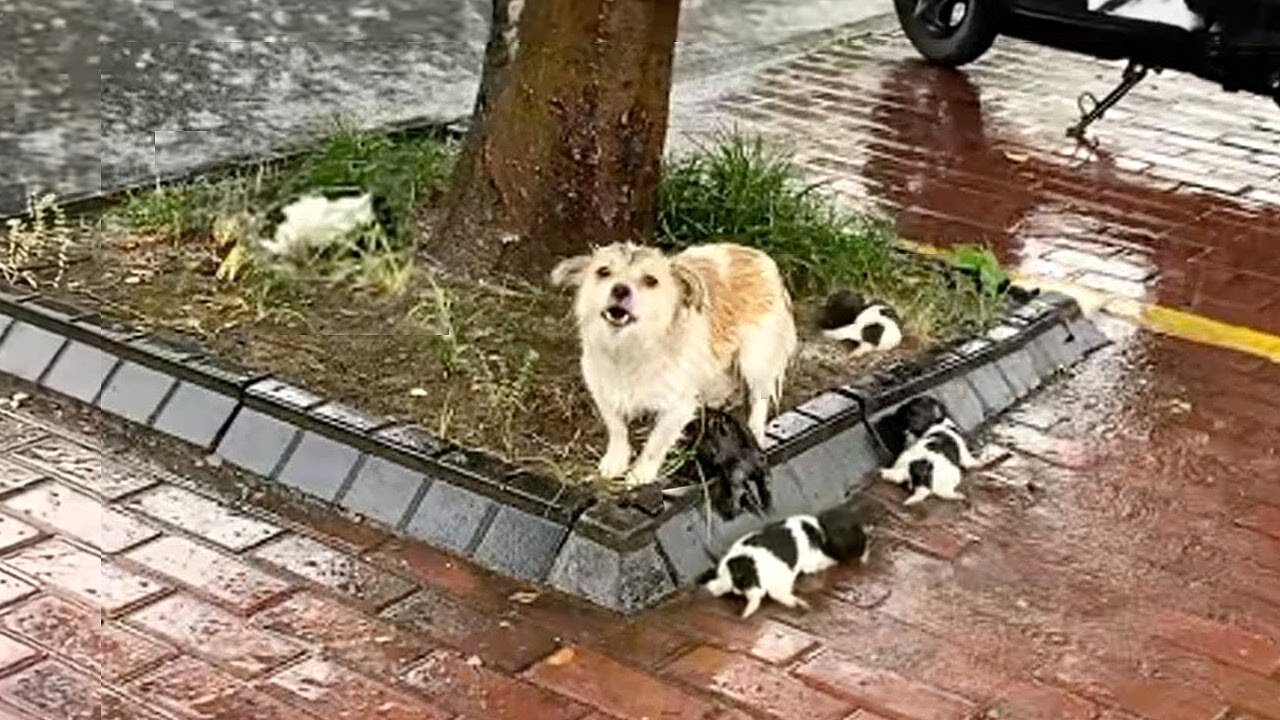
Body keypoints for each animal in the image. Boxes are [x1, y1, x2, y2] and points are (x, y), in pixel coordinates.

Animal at [552, 242, 793, 486]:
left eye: (650, 280)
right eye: (603, 272)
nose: (620, 289)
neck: (629, 348)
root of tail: (757, 255)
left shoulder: (679, 406)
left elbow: (656, 443)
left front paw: (641, 473)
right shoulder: (602, 388)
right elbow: (616, 428)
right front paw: (616, 461)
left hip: (755, 360)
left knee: (759, 399)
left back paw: (755, 432)